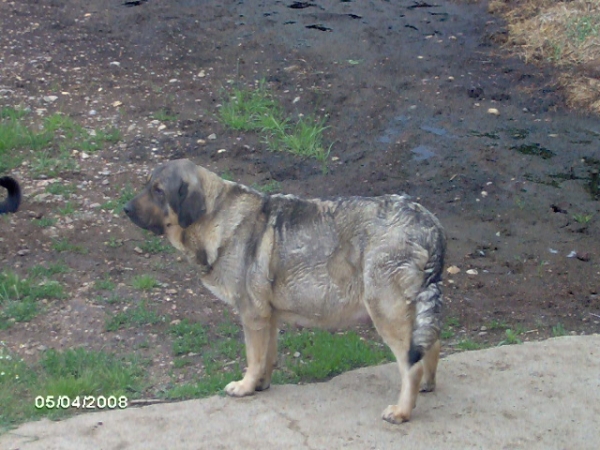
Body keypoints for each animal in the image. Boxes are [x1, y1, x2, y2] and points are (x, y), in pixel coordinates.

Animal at [124, 158, 446, 422]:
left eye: (158, 191)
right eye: (147, 185)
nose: (125, 209)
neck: (216, 217)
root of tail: (429, 224)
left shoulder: (252, 315)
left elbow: (253, 357)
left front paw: (245, 386)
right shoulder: (269, 315)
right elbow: (267, 355)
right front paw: (260, 384)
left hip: (386, 311)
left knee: (411, 365)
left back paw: (402, 410)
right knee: (431, 343)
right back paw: (428, 386)